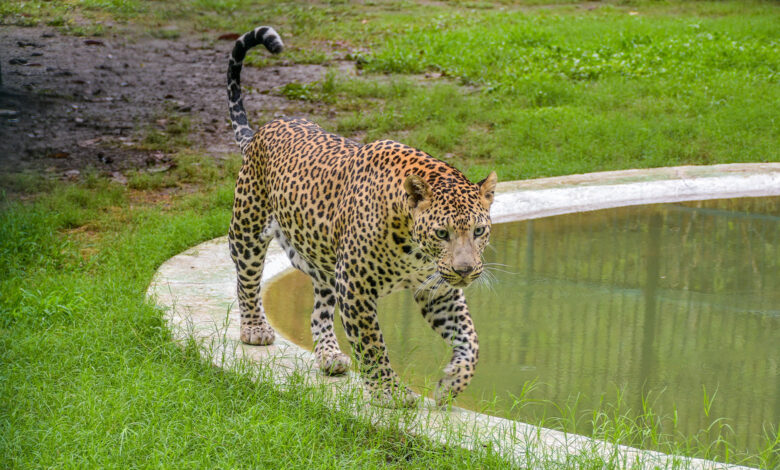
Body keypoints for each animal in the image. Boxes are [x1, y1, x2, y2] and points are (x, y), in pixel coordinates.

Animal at [226, 26, 497, 406]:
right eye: (442, 233)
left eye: (479, 231)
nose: (465, 270)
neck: (414, 247)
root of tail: (261, 132)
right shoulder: (355, 285)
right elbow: (372, 343)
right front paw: (390, 392)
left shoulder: (437, 289)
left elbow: (471, 339)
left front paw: (452, 383)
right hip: (248, 228)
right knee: (247, 280)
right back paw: (254, 329)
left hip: (323, 261)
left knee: (319, 311)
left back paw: (329, 355)